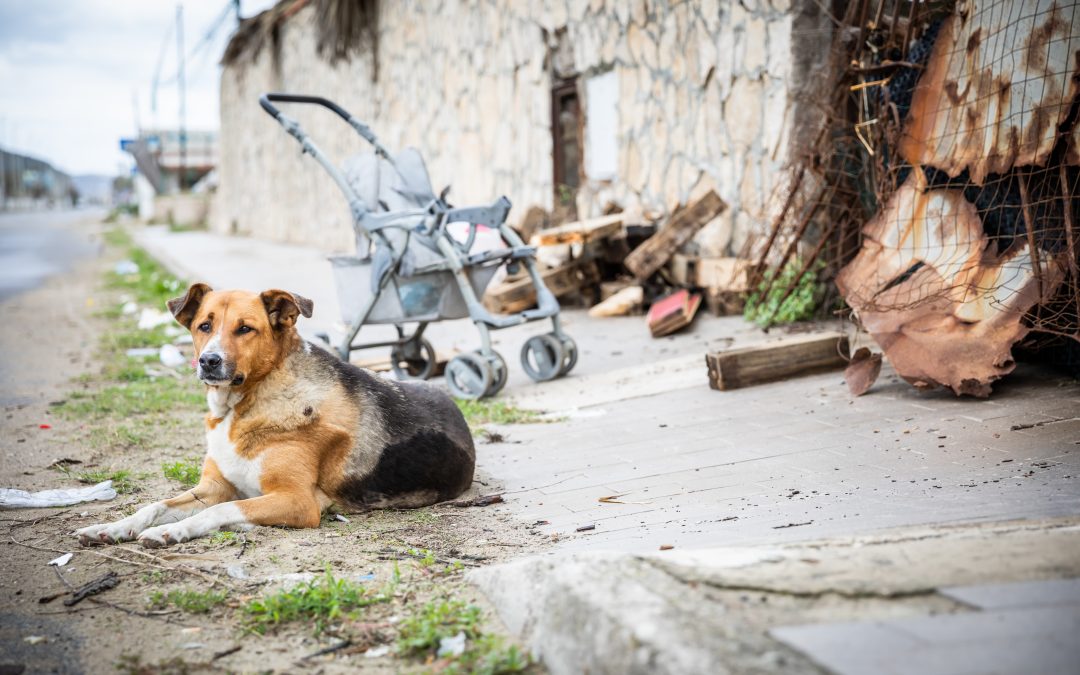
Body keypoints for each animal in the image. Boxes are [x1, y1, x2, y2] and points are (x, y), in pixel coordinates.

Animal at [76, 285, 477, 548]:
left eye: (245, 328)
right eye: (204, 326)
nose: (209, 361)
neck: (240, 407)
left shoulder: (296, 501)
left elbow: (219, 511)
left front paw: (169, 532)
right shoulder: (214, 487)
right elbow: (155, 505)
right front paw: (115, 526)